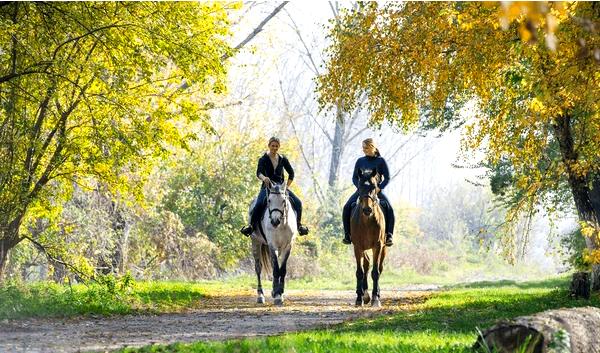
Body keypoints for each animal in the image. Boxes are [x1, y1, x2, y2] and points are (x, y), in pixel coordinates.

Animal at [350, 170, 386, 306]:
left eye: (374, 187)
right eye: (360, 187)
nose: (367, 209)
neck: (367, 221)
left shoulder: (378, 245)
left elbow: (375, 272)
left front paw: (375, 299)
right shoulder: (357, 246)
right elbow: (359, 272)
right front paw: (359, 298)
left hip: (384, 248)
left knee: (379, 267)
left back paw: (376, 294)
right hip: (363, 248)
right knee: (366, 264)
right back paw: (364, 294)